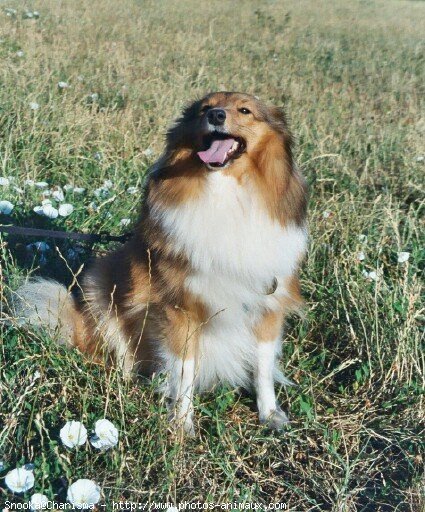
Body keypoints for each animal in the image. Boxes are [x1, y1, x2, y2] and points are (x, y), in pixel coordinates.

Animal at [14, 93, 306, 436]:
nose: (217, 116)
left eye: (245, 110)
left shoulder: (268, 305)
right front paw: (181, 424)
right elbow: (184, 371)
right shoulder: (179, 308)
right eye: (205, 109)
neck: (226, 191)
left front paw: (270, 414)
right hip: (101, 287)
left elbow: (263, 369)